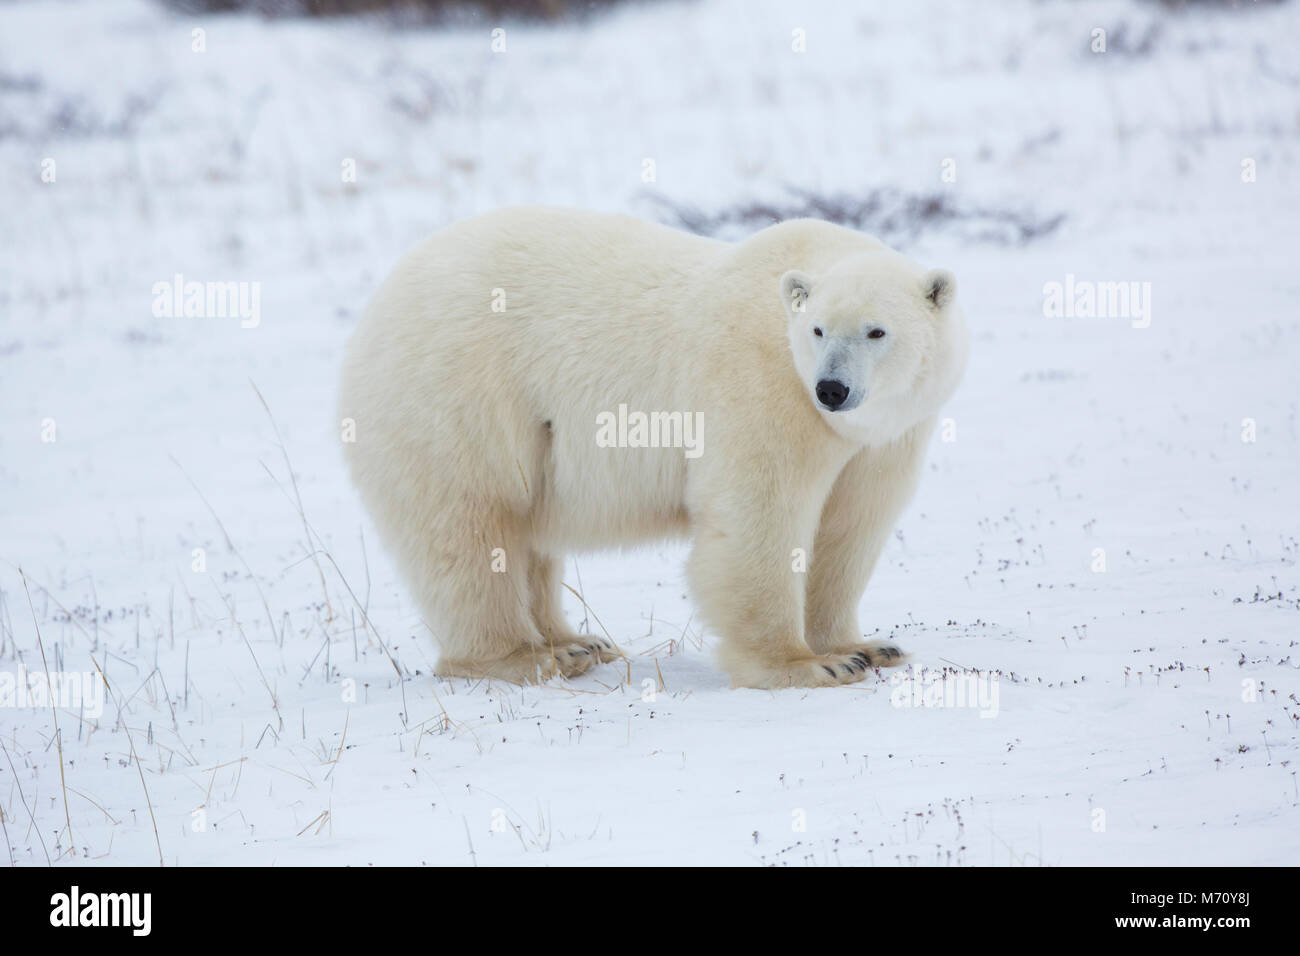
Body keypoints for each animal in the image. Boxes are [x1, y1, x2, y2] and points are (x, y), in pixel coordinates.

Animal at [335, 208, 967, 686]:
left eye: (877, 331)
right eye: (817, 330)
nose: (832, 389)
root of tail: (374, 309)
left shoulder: (886, 438)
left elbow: (851, 526)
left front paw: (867, 647)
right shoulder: (760, 385)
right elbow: (759, 517)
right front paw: (808, 666)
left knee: (524, 536)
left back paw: (577, 643)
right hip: (458, 397)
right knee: (470, 529)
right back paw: (525, 657)